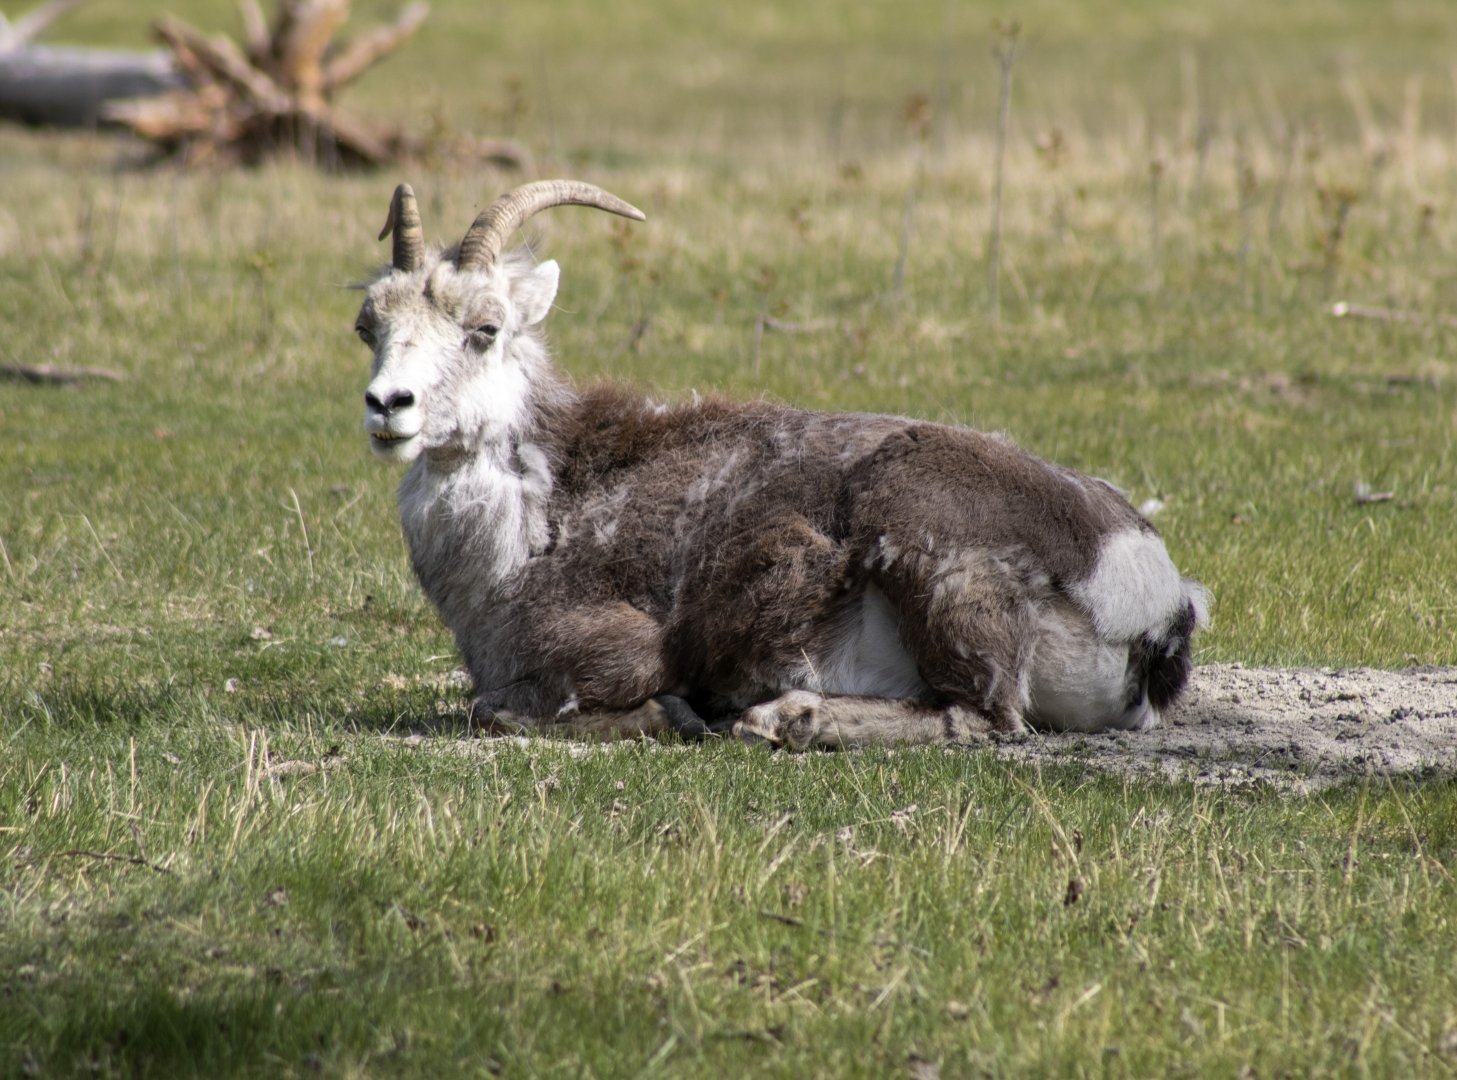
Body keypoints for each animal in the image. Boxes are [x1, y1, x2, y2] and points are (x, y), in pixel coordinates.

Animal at [355, 179, 1208, 747]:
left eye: (485, 327)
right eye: (369, 325)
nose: (388, 405)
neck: (539, 517)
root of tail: (1152, 596)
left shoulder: (613, 645)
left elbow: (500, 706)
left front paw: (678, 713)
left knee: (981, 717)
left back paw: (780, 718)